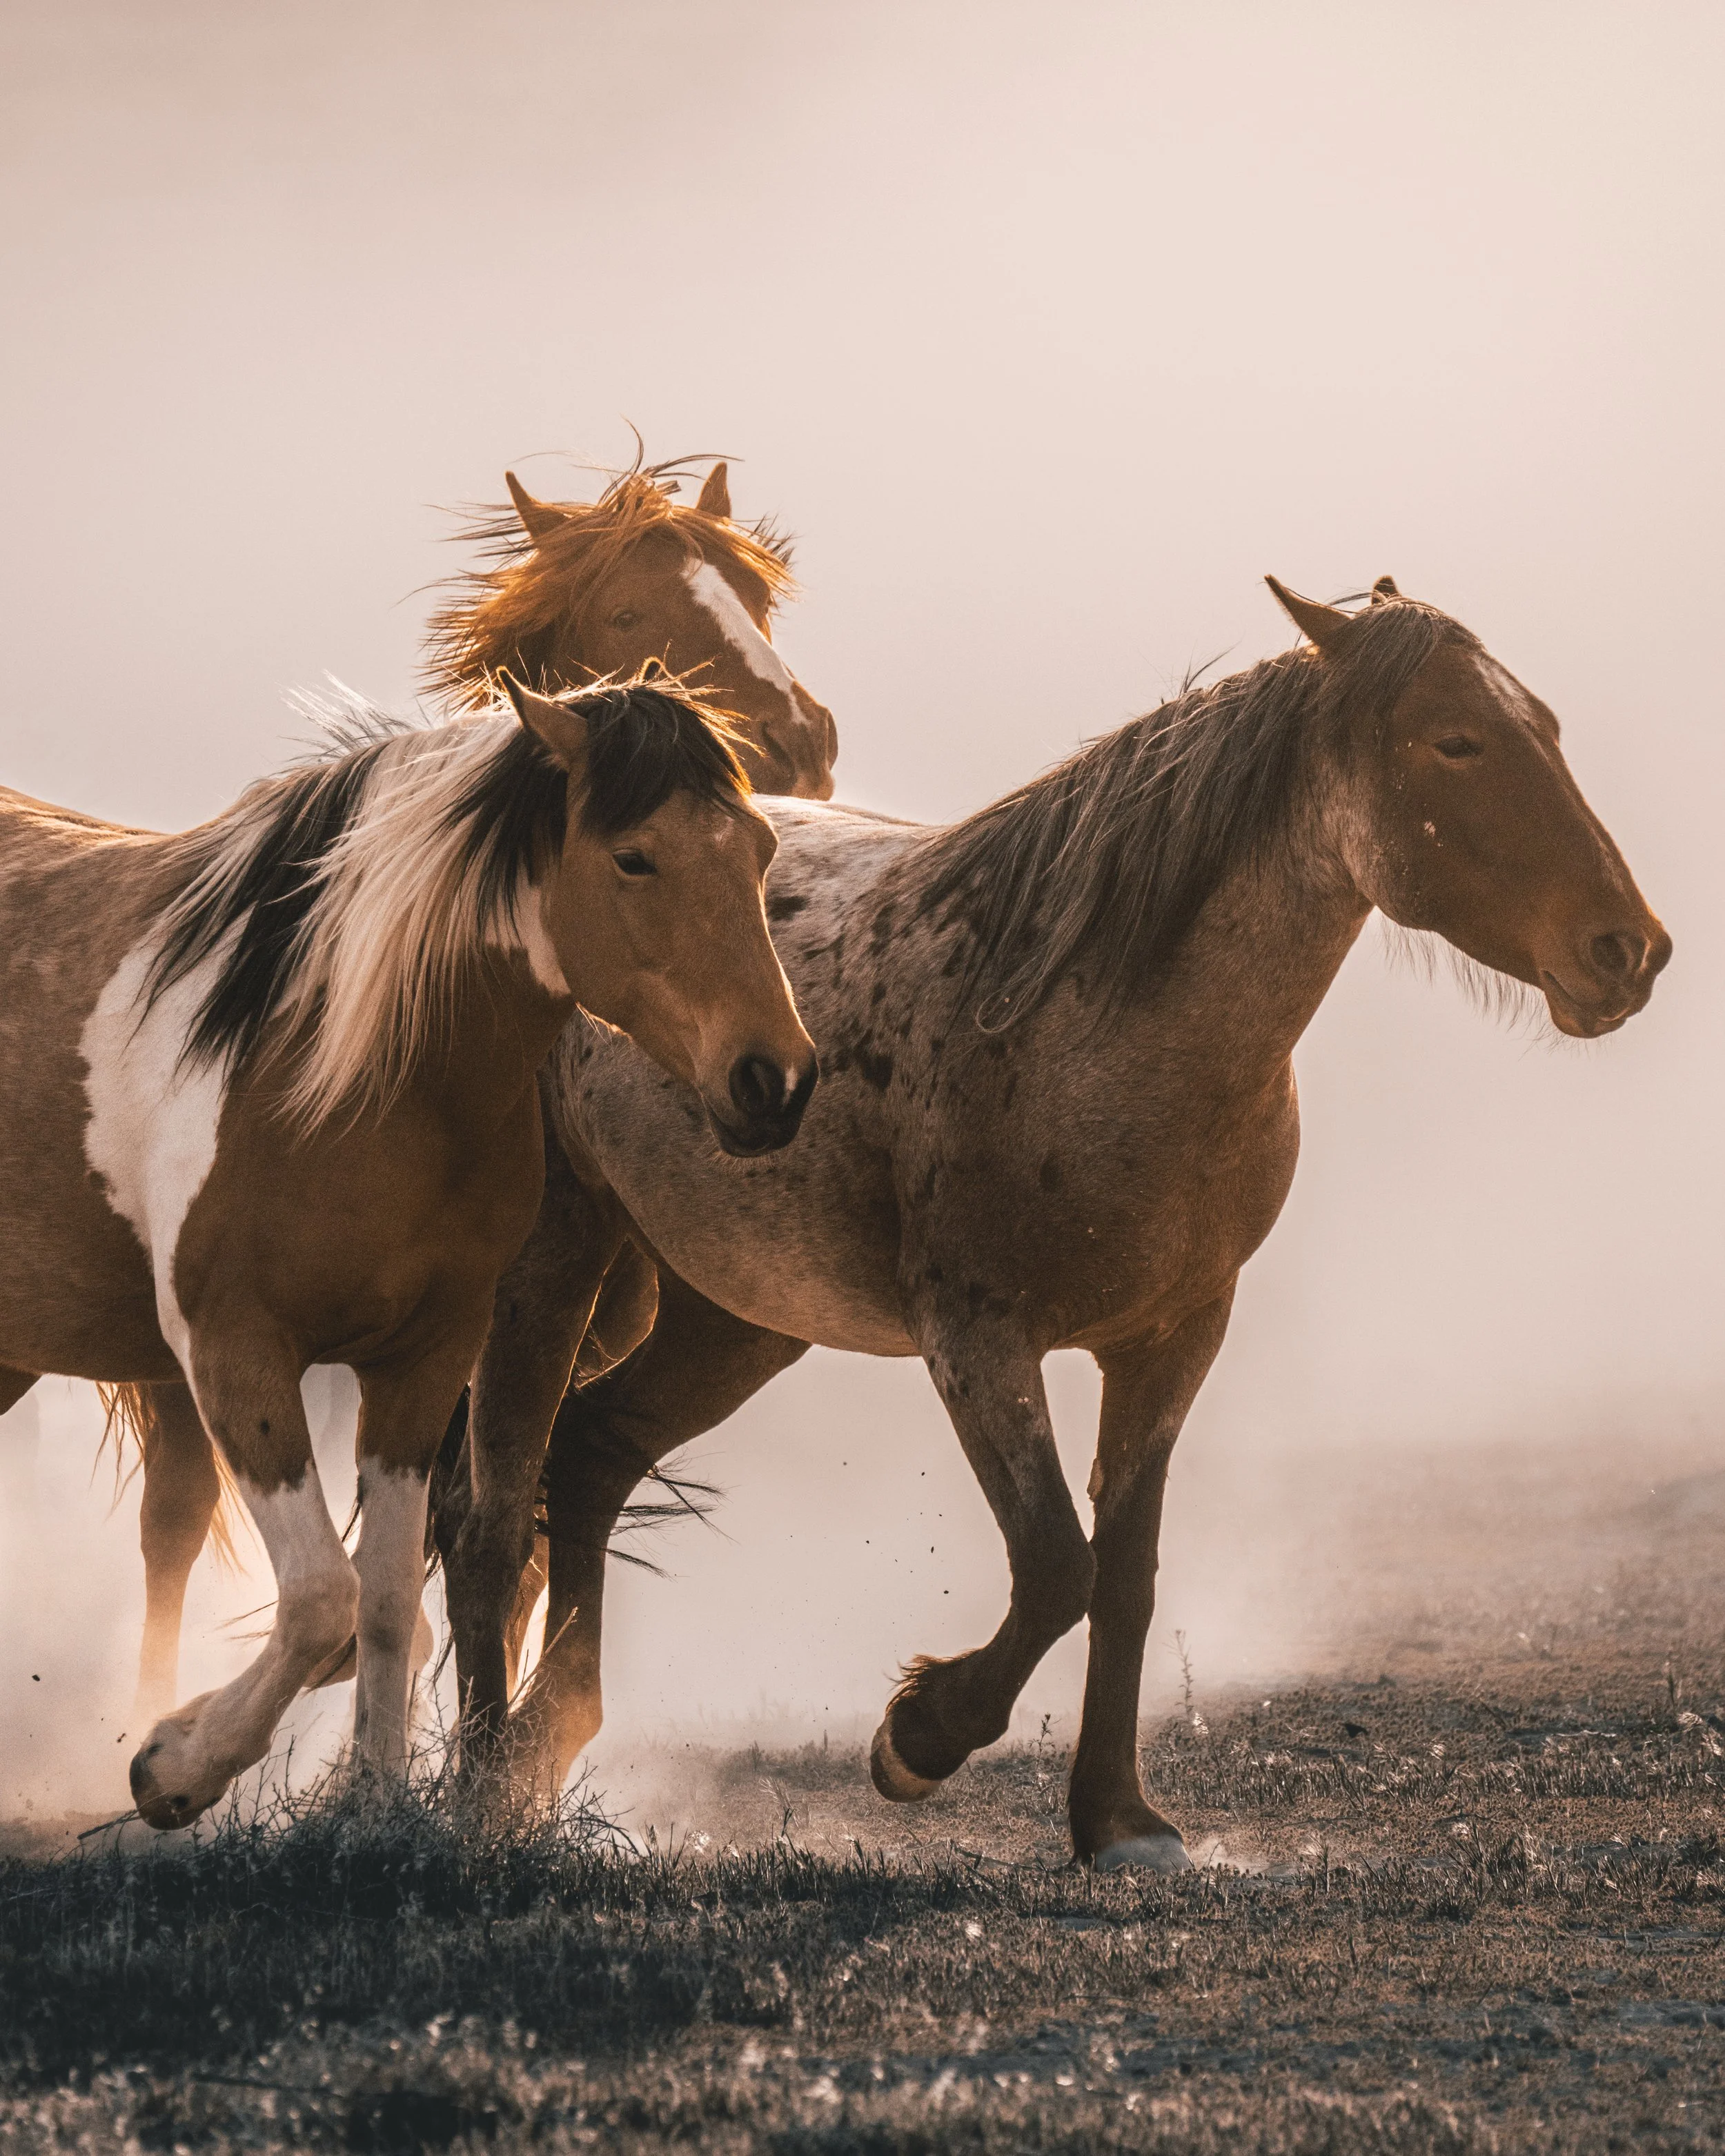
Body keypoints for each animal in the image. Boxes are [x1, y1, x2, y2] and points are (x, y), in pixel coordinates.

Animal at [0, 672, 816, 1828]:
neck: (332, 1068)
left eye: (759, 847)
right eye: (634, 857)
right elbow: (320, 1600)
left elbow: (383, 1600)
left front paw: (374, 1800)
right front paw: (171, 1767)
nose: (774, 1080)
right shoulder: (235, 1352)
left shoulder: (422, 1363)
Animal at [115, 454, 839, 1725]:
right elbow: (468, 1535)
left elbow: (490, 1536)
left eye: (757, 597)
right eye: (628, 614)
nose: (797, 735)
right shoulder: (492, 1320)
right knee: (176, 1520)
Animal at [442, 575, 1670, 1868]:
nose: (1626, 950)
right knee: (488, 1514)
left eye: (1543, 726)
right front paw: (920, 1735)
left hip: (739, 1316)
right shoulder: (979, 1340)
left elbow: (1124, 1573)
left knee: (591, 1453)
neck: (1088, 1027)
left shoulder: (1174, 1340)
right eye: (1456, 741)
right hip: (554, 1264)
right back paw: (479, 1786)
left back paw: (543, 1747)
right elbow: (1054, 1569)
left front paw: (1118, 1818)